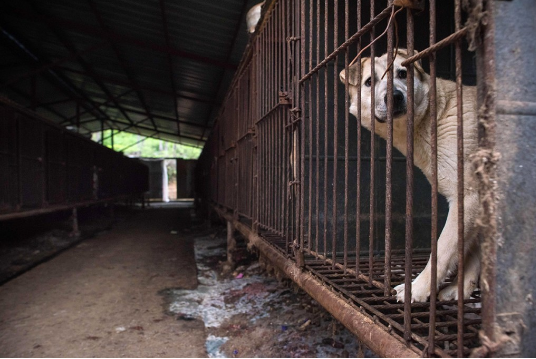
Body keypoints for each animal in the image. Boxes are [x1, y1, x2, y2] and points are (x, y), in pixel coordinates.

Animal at [342, 50, 480, 304]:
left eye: (402, 74)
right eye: (369, 82)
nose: (394, 97)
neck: (433, 119)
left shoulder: (468, 196)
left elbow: (442, 251)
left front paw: (417, 288)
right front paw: (461, 288)